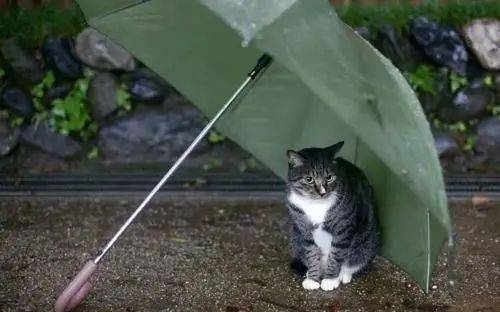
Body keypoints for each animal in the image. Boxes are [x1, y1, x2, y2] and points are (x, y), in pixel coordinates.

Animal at [286, 141, 378, 290]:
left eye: (329, 177)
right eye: (309, 179)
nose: (323, 192)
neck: (315, 205)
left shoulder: (343, 229)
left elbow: (337, 254)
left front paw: (330, 280)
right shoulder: (303, 227)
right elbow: (311, 252)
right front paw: (313, 279)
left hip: (366, 242)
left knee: (355, 260)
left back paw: (344, 275)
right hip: (295, 237)